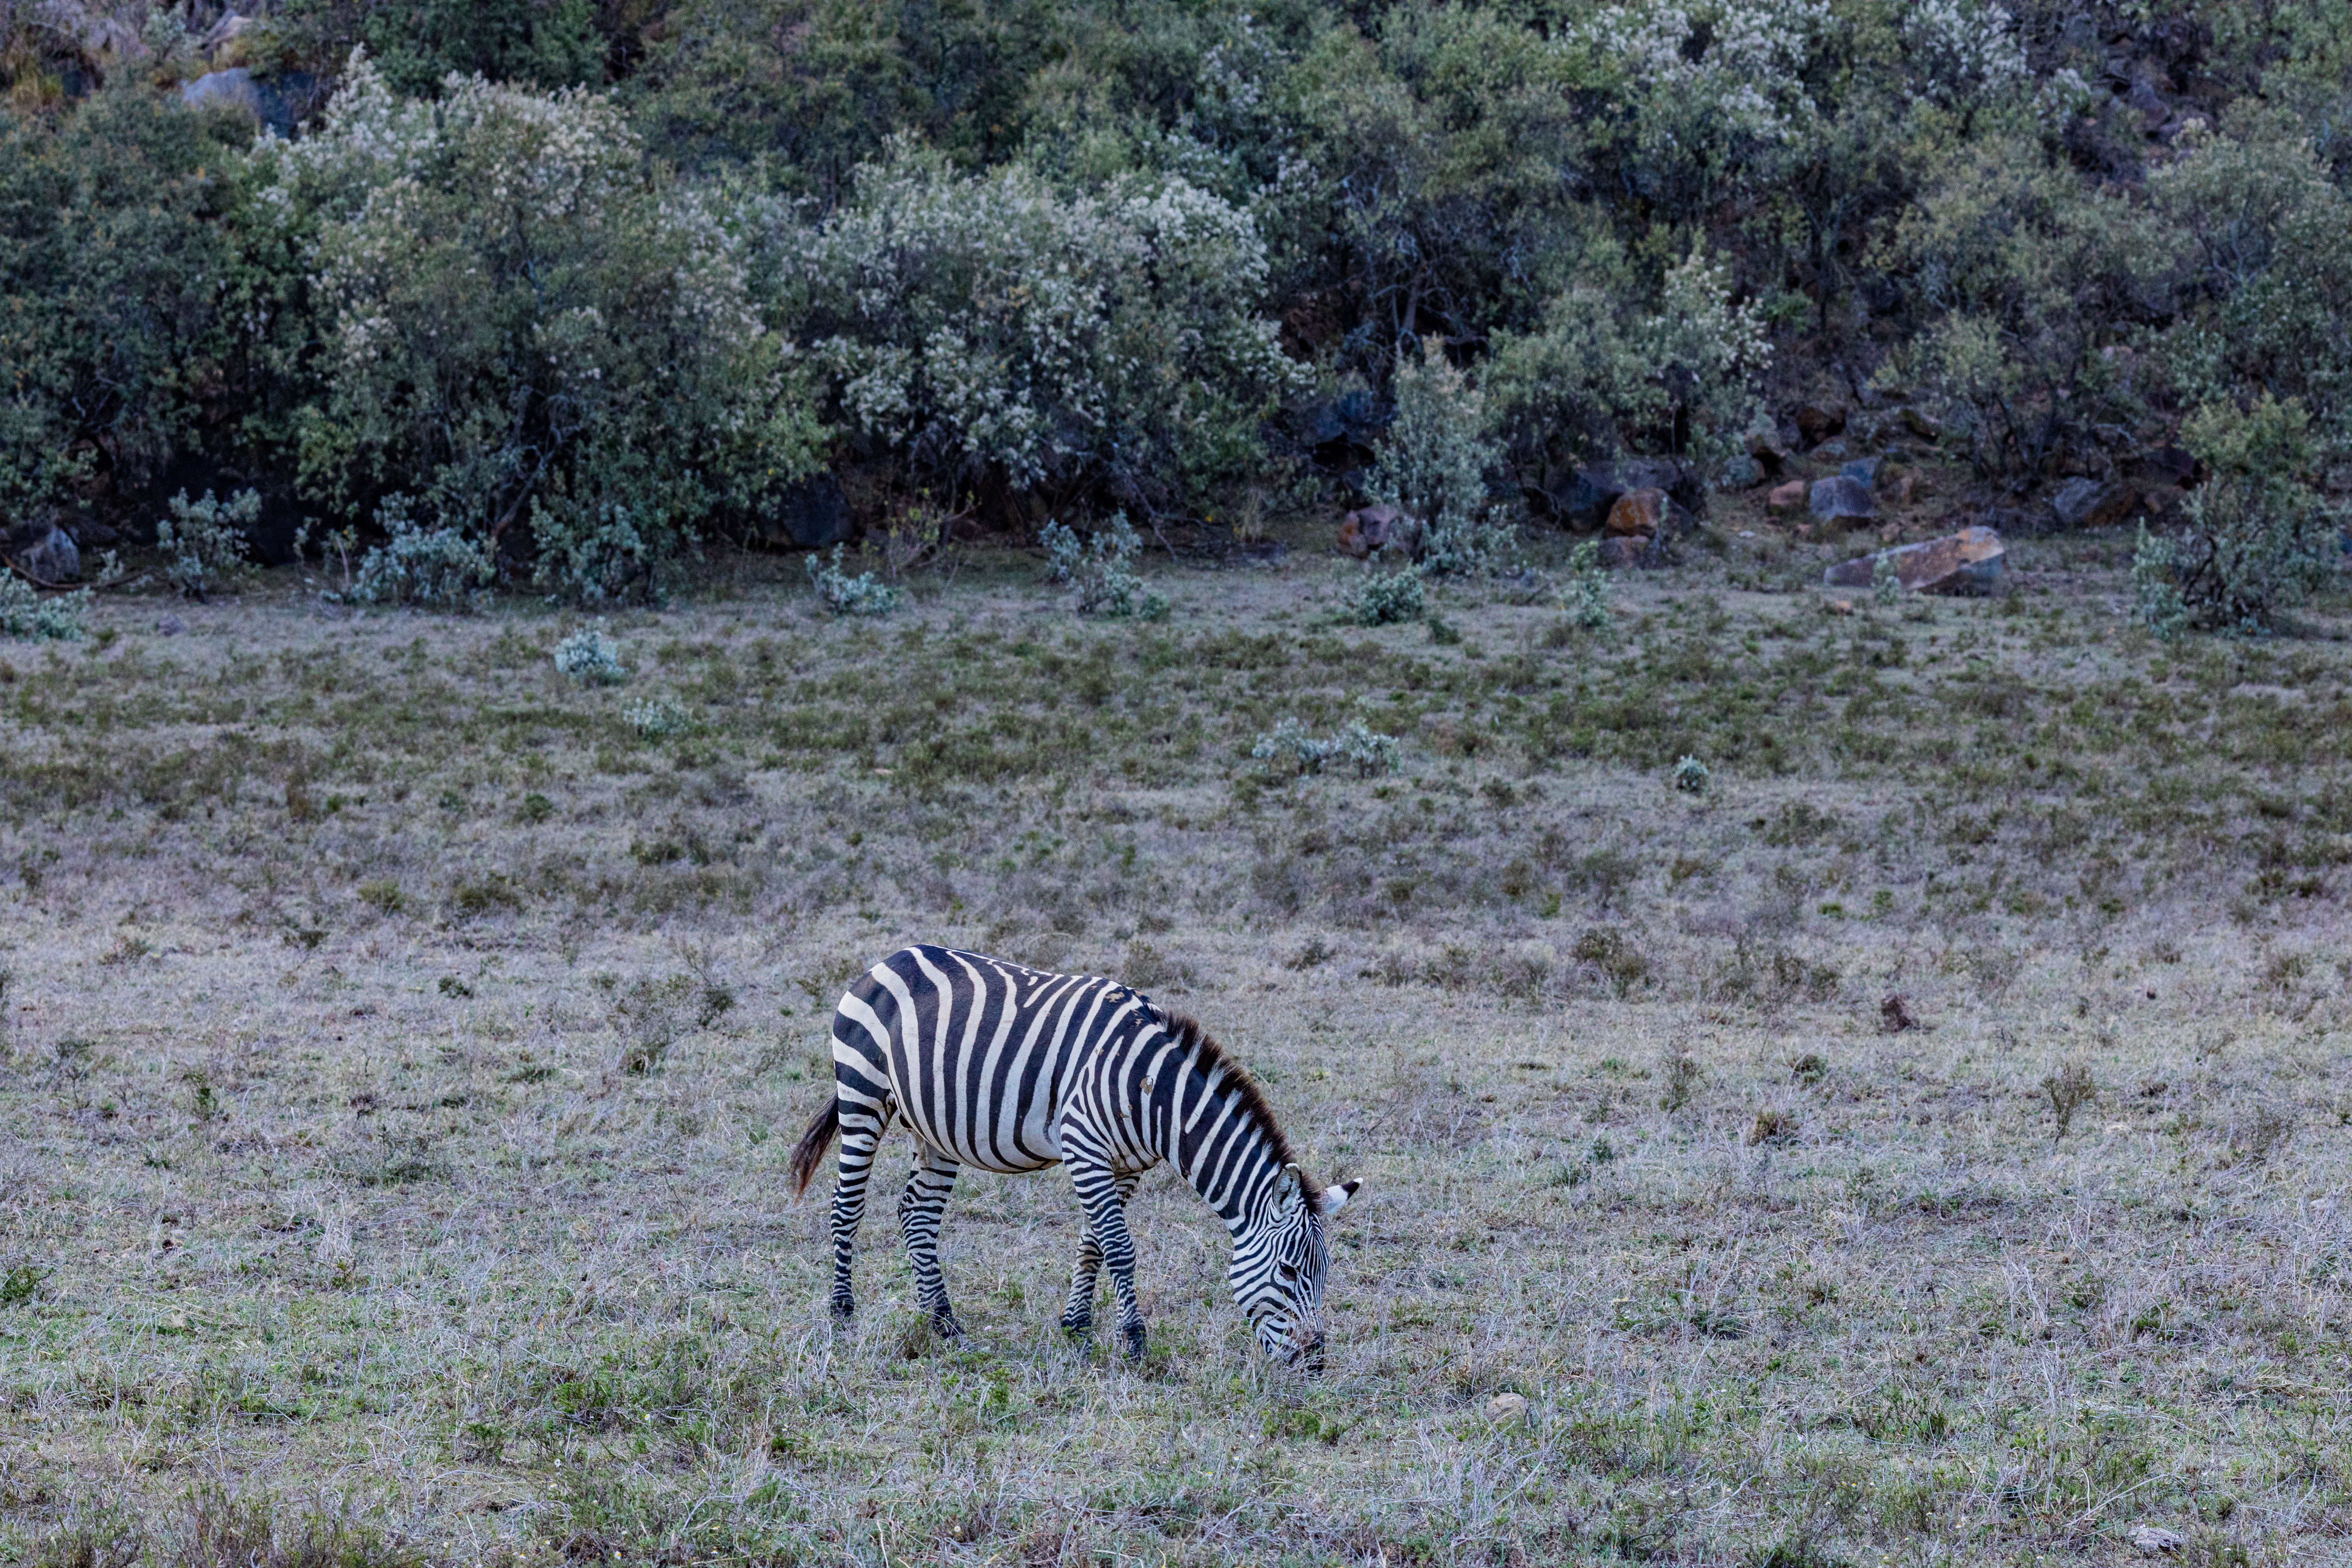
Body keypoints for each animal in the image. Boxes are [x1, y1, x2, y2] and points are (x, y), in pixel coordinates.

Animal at [788, 944, 1360, 1372]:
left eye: (1326, 1272)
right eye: (1289, 1271)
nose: (1315, 1362)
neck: (1153, 1093)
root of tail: (889, 959)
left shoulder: (1124, 1166)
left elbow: (1094, 1245)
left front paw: (1078, 1329)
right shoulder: (1085, 1147)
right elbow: (1120, 1248)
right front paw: (1135, 1342)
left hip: (935, 1130)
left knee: (917, 1217)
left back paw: (946, 1325)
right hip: (862, 1095)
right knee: (846, 1208)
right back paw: (843, 1316)